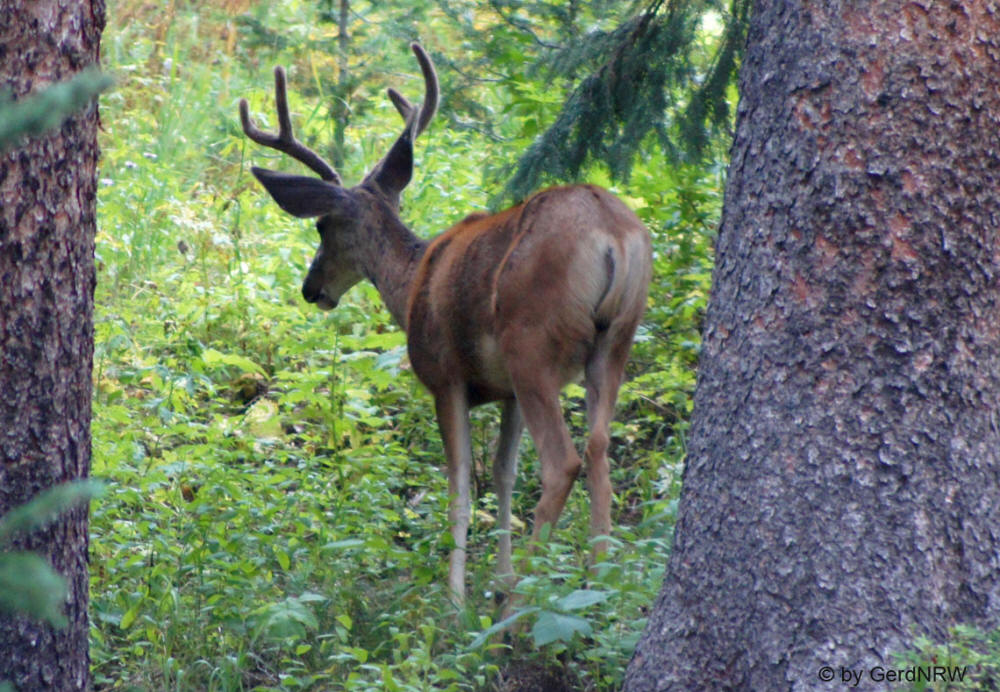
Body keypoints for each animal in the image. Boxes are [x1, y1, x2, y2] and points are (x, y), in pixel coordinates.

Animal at [239, 43, 652, 603]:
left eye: (322, 226)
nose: (311, 288)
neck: (412, 281)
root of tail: (614, 235)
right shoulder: (505, 393)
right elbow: (501, 475)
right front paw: (497, 578)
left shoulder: (444, 376)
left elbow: (459, 485)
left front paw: (458, 600)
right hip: (616, 340)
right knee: (598, 449)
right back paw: (599, 587)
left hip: (532, 343)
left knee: (562, 461)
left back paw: (518, 608)